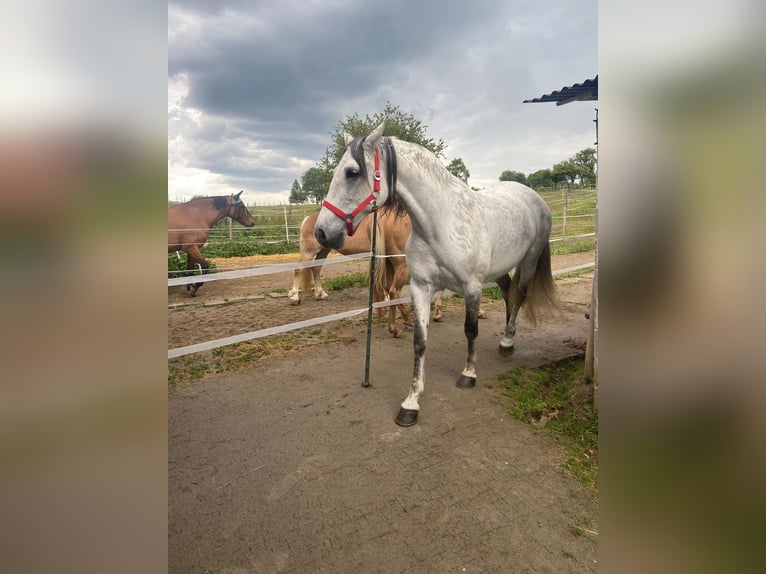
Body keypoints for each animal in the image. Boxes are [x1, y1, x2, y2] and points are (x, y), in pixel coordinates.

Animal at [292, 209, 416, 340]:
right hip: (309, 251)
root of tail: (309, 218)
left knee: (316, 269)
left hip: (323, 250)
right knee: (299, 269)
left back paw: (320, 294)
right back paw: (294, 297)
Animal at [316, 122, 560, 428]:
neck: (441, 223)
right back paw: (506, 337)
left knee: (519, 297)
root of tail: (534, 197)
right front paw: (411, 403)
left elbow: (471, 329)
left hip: (528, 263)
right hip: (500, 270)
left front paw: (468, 374)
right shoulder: (421, 287)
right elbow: (420, 342)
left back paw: (507, 342)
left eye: (351, 172)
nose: (322, 232)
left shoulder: (472, 287)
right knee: (508, 294)